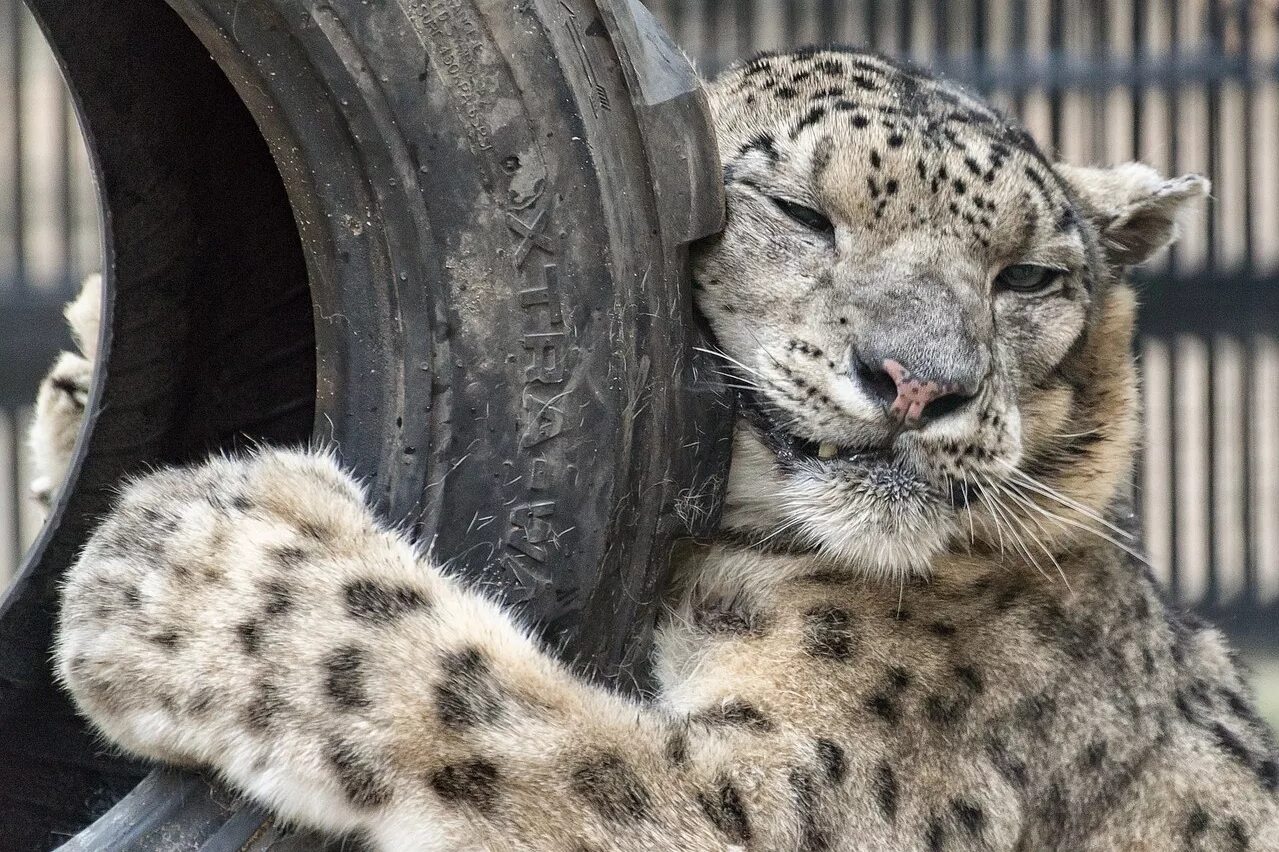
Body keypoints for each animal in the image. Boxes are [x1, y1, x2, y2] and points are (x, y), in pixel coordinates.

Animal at [35, 47, 1273, 849]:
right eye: (798, 212)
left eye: (1028, 277)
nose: (921, 381)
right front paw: (83, 378)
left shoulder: (786, 796)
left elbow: (511, 718)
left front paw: (194, 567)